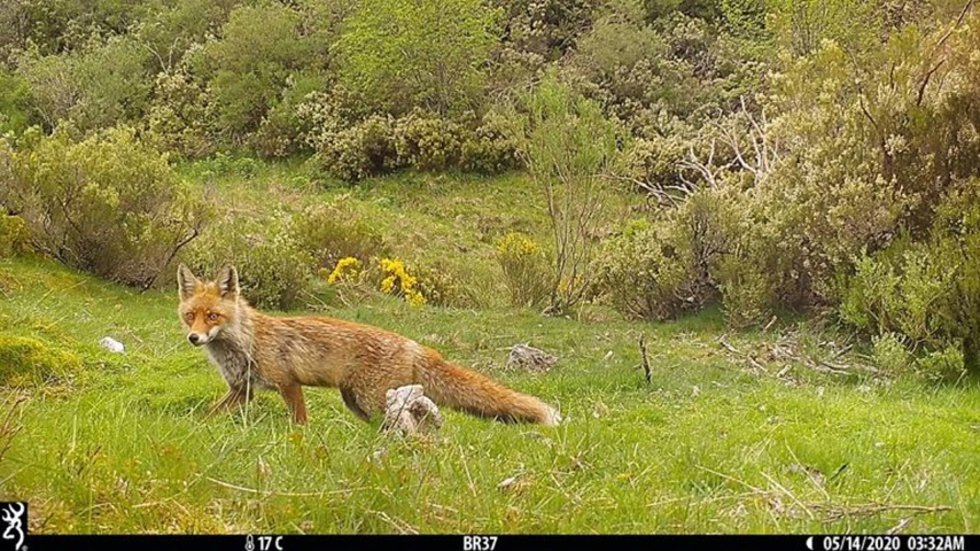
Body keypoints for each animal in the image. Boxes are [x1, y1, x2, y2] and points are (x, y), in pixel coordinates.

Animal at [177, 264, 561, 426]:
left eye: (212, 316)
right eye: (190, 316)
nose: (194, 338)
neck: (244, 342)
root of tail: (412, 343)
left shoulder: (289, 383)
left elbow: (300, 423)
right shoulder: (242, 390)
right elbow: (209, 415)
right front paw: (193, 430)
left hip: (372, 399)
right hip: (359, 402)